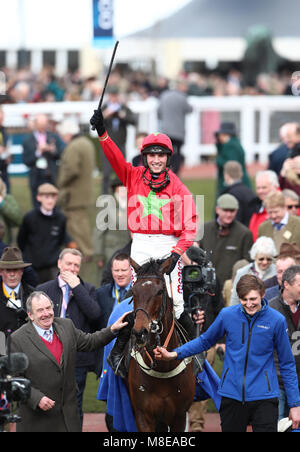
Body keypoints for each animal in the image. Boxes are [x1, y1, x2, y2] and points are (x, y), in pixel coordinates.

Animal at [127, 256, 196, 432]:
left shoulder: (179, 416)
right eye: (133, 292)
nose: (140, 333)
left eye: (159, 291)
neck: (163, 368)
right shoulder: (143, 415)